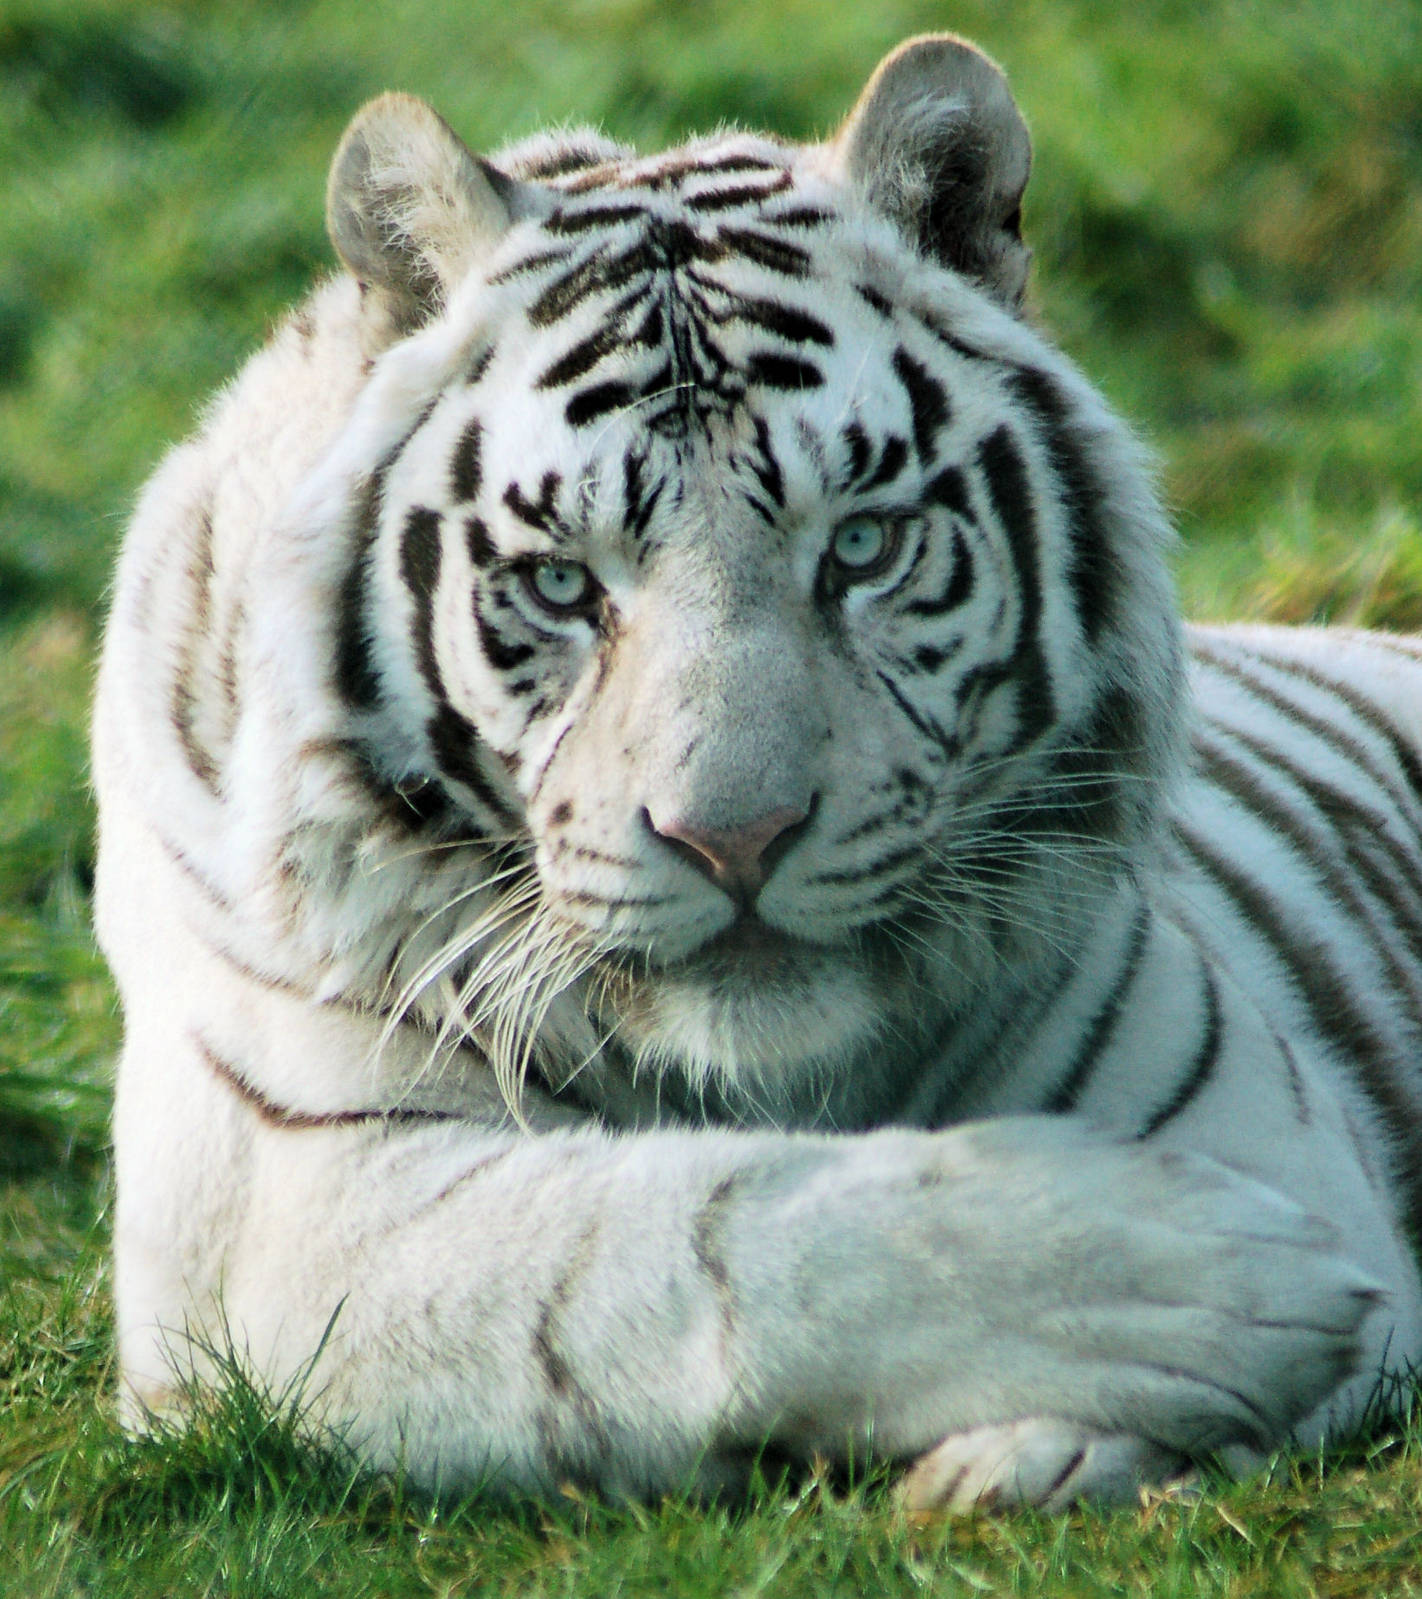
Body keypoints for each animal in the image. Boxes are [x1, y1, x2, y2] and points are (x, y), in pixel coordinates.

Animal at [92, 33, 1422, 1511]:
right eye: (562, 583)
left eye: (864, 545)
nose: (736, 837)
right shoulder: (292, 1209)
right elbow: (692, 1230)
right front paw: (1205, 1283)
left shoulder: (1254, 1113)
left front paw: (1053, 1441)